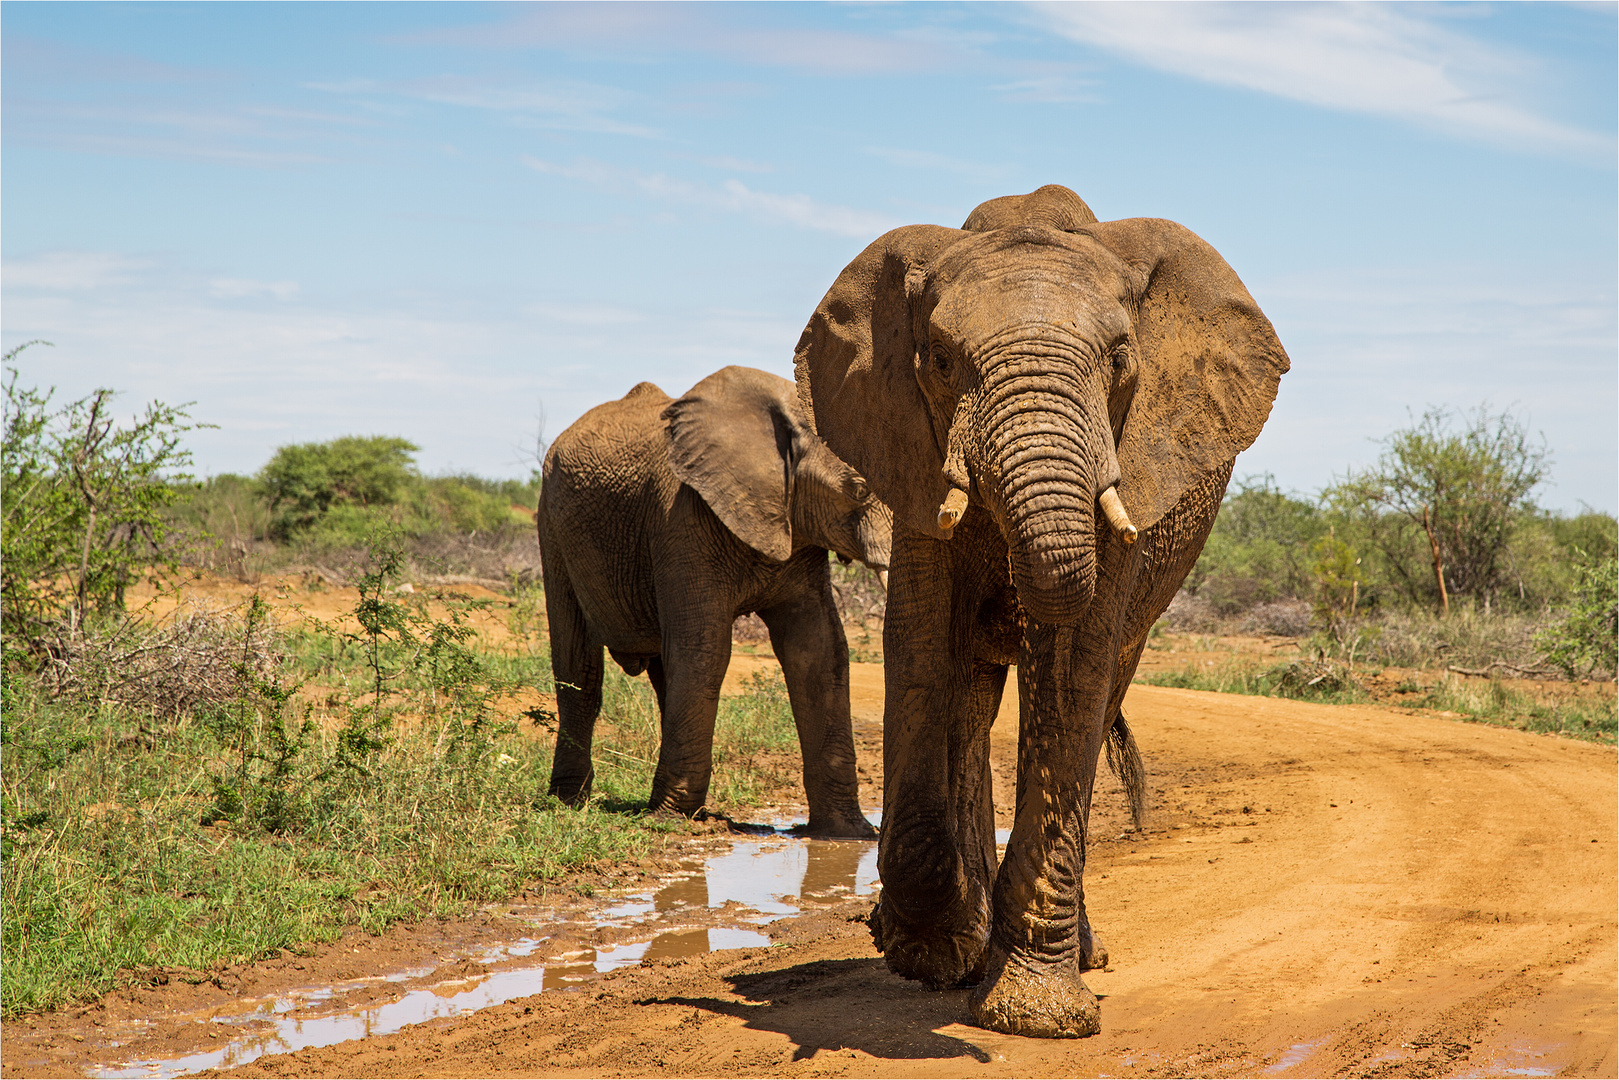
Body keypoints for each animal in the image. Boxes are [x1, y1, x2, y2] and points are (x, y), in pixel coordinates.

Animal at [537, 367, 893, 841]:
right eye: (860, 489)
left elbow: (818, 650)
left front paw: (846, 834)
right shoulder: (682, 518)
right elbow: (703, 648)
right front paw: (665, 820)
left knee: (664, 671)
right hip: (552, 523)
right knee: (579, 667)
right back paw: (568, 802)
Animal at [790, 183, 1282, 1036]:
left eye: (1118, 360)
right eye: (940, 361)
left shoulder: (1129, 462)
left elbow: (1074, 662)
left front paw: (1034, 1016)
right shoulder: (910, 450)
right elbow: (921, 647)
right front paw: (926, 954)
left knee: (1098, 682)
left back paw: (1075, 953)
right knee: (970, 698)